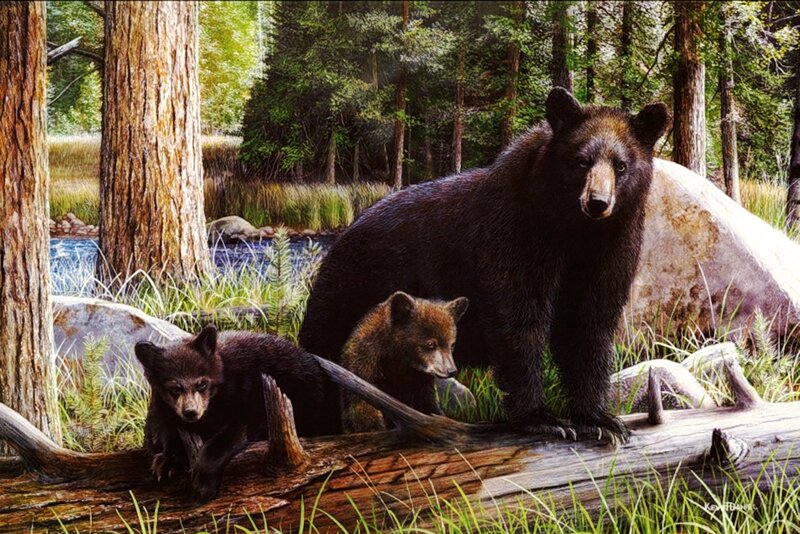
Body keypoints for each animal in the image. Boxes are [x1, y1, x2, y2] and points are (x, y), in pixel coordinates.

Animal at [134, 324, 335, 501]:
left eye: (202, 384)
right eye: (175, 388)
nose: (190, 412)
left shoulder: (245, 394)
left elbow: (233, 432)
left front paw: (203, 487)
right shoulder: (163, 407)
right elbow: (164, 429)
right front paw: (166, 462)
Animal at [340, 291, 469, 433]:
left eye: (452, 345)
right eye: (430, 344)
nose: (451, 371)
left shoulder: (421, 382)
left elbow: (427, 404)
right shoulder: (365, 365)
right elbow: (361, 405)